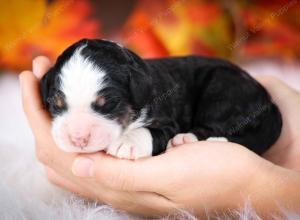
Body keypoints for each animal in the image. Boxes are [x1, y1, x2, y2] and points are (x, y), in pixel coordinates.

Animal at [39, 38, 282, 159]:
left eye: (109, 104)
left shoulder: (167, 120)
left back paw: (186, 139)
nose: (78, 139)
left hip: (222, 90)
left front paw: (127, 143)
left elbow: (151, 132)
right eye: (55, 104)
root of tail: (269, 102)